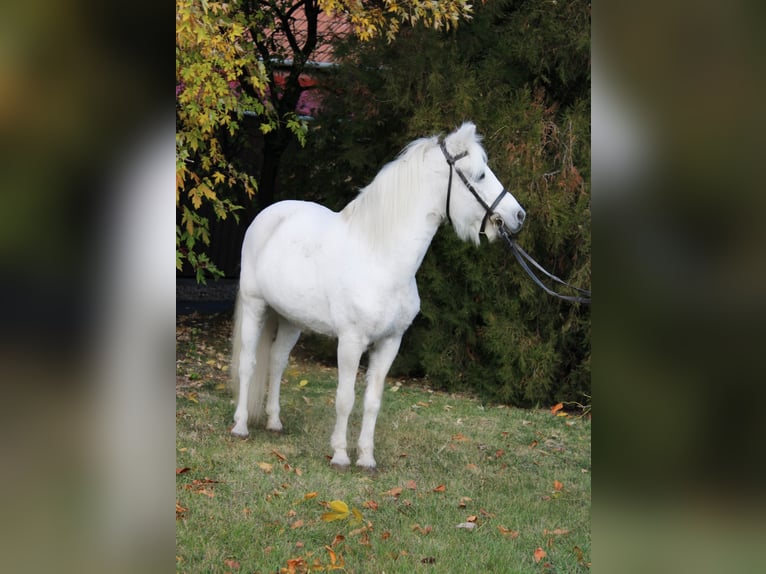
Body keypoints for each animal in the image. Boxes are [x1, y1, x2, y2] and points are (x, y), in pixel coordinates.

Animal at [229, 122, 525, 469]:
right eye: (479, 175)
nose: (518, 215)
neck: (381, 258)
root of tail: (269, 214)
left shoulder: (389, 343)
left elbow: (372, 401)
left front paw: (367, 458)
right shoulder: (350, 342)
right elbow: (345, 399)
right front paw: (340, 455)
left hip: (292, 320)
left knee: (277, 363)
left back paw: (275, 422)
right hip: (255, 307)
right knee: (248, 364)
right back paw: (240, 425)